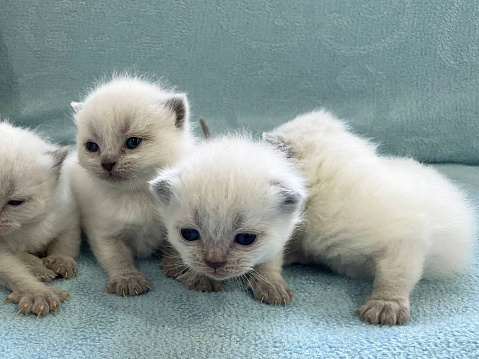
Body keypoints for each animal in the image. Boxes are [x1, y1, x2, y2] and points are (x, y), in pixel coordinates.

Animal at [0, 121, 80, 316]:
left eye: (15, 202)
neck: (25, 227)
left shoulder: (67, 214)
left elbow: (66, 242)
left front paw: (61, 260)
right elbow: (13, 270)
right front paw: (37, 293)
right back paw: (37, 269)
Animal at [70, 74, 194, 296]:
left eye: (133, 142)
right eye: (92, 147)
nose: (107, 163)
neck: (137, 193)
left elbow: (175, 243)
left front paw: (175, 264)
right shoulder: (105, 232)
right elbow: (116, 256)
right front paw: (127, 279)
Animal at [150, 136, 308, 306]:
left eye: (246, 238)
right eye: (189, 234)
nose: (214, 263)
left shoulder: (279, 239)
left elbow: (271, 260)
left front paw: (271, 284)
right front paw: (201, 279)